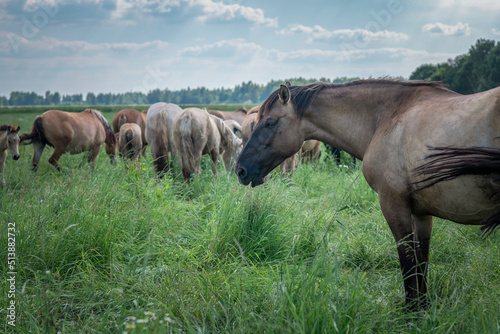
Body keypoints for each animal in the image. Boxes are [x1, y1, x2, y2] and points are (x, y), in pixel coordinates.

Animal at [236, 79, 500, 310]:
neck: (389, 118)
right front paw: (422, 309)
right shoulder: (421, 214)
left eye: (270, 122)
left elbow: (408, 263)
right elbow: (421, 263)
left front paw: (411, 313)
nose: (241, 170)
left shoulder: (394, 206)